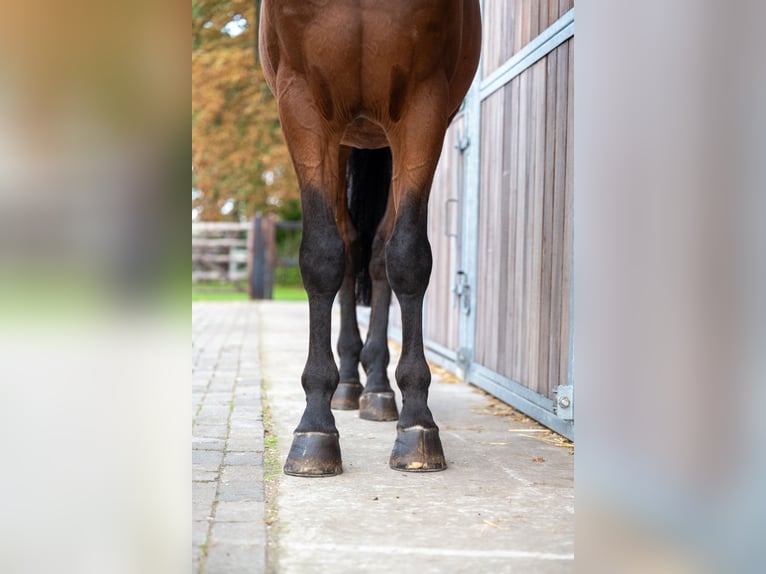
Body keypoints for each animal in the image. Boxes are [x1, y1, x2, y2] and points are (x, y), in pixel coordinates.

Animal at [260, 0, 484, 476]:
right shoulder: (301, 101)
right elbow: (322, 258)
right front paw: (315, 428)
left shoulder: (423, 106)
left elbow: (408, 258)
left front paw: (417, 425)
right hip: (347, 140)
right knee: (349, 248)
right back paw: (346, 385)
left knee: (378, 254)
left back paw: (378, 388)